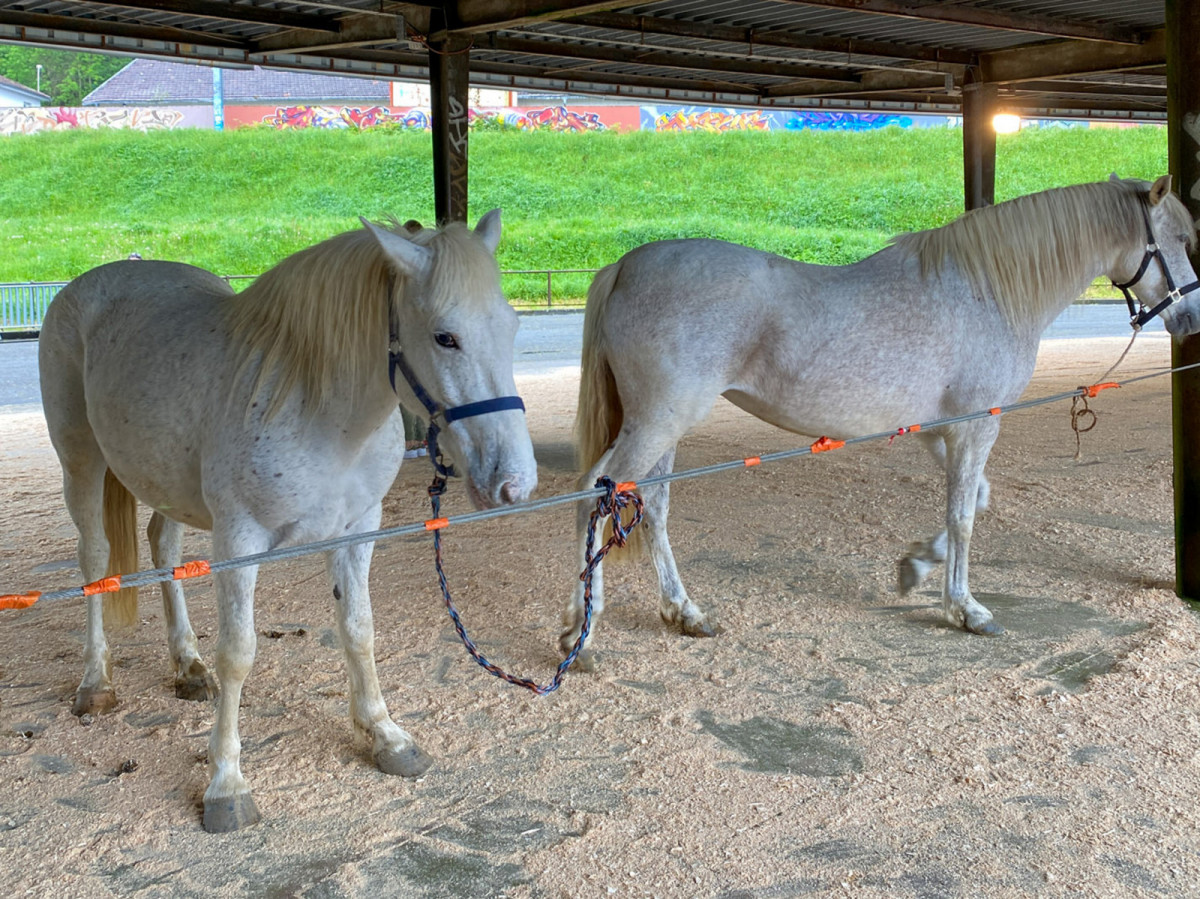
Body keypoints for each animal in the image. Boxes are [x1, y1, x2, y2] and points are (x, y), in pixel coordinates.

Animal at [38, 208, 535, 825]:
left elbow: (358, 629)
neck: (315, 406)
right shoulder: (238, 542)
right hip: (80, 461)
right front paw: (226, 784)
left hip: (164, 483)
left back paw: (187, 665)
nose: (514, 483)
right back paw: (95, 682)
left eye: (511, 326)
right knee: (95, 562)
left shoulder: (358, 530)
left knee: (163, 548)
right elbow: (238, 655)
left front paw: (386, 736)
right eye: (446, 336)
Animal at [566, 177, 1200, 667]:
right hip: (657, 421)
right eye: (1178, 238)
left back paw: (683, 612)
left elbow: (976, 501)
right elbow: (965, 516)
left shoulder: (941, 431)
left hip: (666, 428)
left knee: (651, 505)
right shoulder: (977, 426)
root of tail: (623, 266)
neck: (987, 293)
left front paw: (916, 567)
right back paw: (580, 633)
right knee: (592, 494)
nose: (1191, 316)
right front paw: (966, 609)